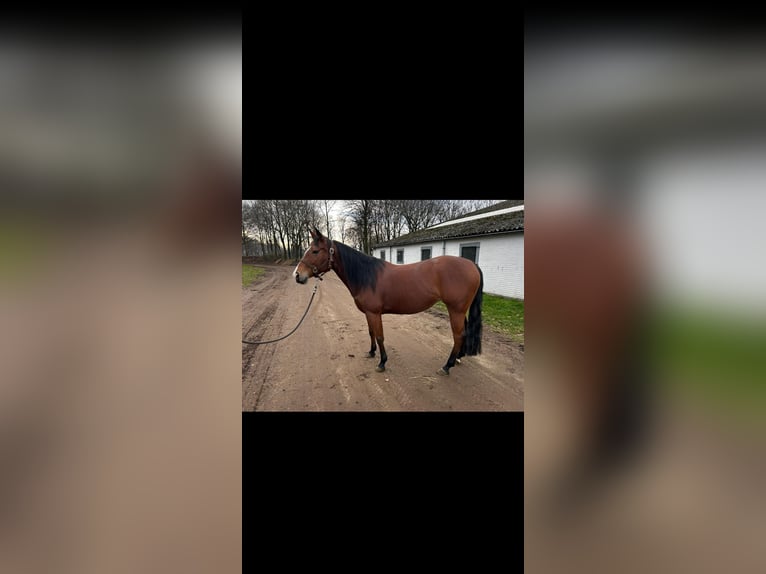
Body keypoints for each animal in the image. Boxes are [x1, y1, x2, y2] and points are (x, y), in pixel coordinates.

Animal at [294, 225, 483, 375]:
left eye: (315, 251)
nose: (297, 275)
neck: (366, 276)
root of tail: (472, 265)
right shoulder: (368, 313)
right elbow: (371, 332)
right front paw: (371, 353)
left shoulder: (374, 313)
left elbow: (379, 336)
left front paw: (382, 362)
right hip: (459, 310)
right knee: (463, 333)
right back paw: (458, 358)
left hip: (455, 310)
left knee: (458, 335)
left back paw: (447, 366)